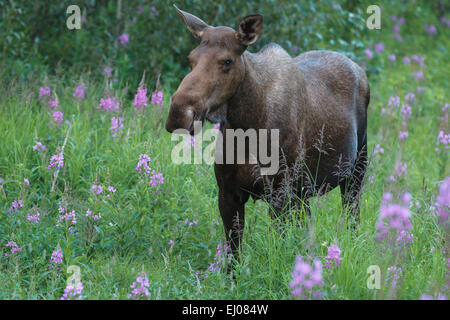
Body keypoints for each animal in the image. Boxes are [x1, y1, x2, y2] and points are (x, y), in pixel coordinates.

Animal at [165, 6, 370, 266]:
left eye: (227, 61)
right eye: (190, 59)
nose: (179, 114)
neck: (247, 128)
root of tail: (358, 68)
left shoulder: (279, 194)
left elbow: (278, 249)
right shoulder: (228, 193)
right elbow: (233, 255)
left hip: (356, 169)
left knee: (353, 220)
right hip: (304, 191)